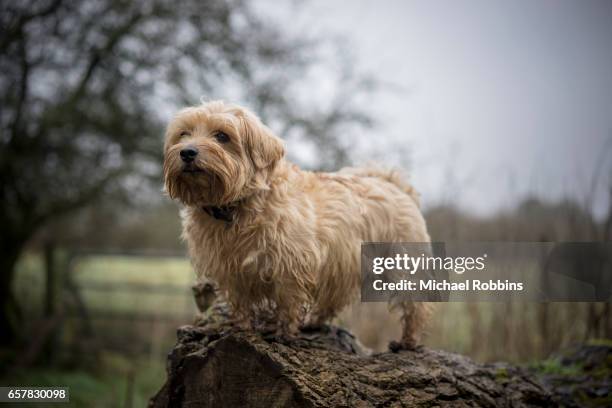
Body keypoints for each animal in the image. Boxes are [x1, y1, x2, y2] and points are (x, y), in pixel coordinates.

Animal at [163, 100, 430, 350]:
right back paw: (314, 321)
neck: (236, 206)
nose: (187, 152)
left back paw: (408, 340)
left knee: (415, 305)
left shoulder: (290, 264)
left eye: (221, 136)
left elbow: (287, 302)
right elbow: (241, 302)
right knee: (335, 299)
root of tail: (394, 185)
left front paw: (283, 333)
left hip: (403, 264)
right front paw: (241, 327)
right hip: (343, 267)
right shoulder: (231, 270)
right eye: (184, 134)